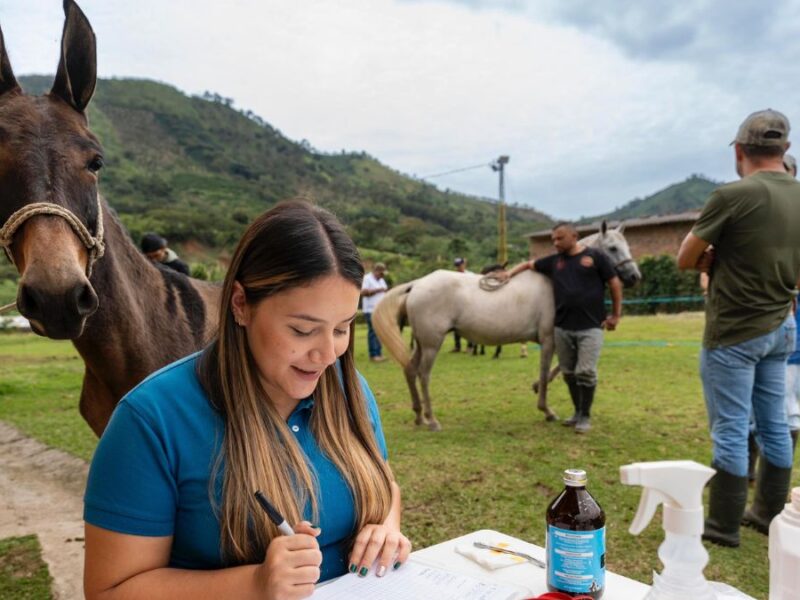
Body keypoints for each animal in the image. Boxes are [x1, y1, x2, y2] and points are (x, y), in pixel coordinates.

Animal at [372, 223, 640, 428]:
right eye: (613, 248)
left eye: (628, 246)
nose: (635, 277)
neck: (553, 282)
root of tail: (417, 283)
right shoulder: (549, 340)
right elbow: (546, 371)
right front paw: (546, 409)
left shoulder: (558, 339)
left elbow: (558, 370)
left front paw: (536, 389)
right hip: (431, 344)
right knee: (423, 375)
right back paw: (431, 419)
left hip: (421, 343)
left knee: (410, 370)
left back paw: (419, 416)